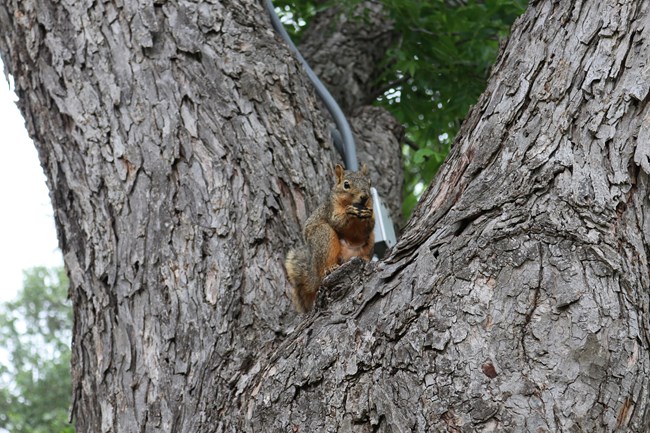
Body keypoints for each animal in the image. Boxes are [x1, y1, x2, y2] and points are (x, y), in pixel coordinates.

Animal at [284, 164, 374, 312]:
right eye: (346, 185)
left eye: (370, 183)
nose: (364, 197)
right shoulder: (330, 210)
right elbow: (337, 222)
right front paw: (349, 213)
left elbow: (367, 228)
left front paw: (368, 216)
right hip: (323, 236)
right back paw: (330, 268)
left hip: (369, 243)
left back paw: (366, 259)